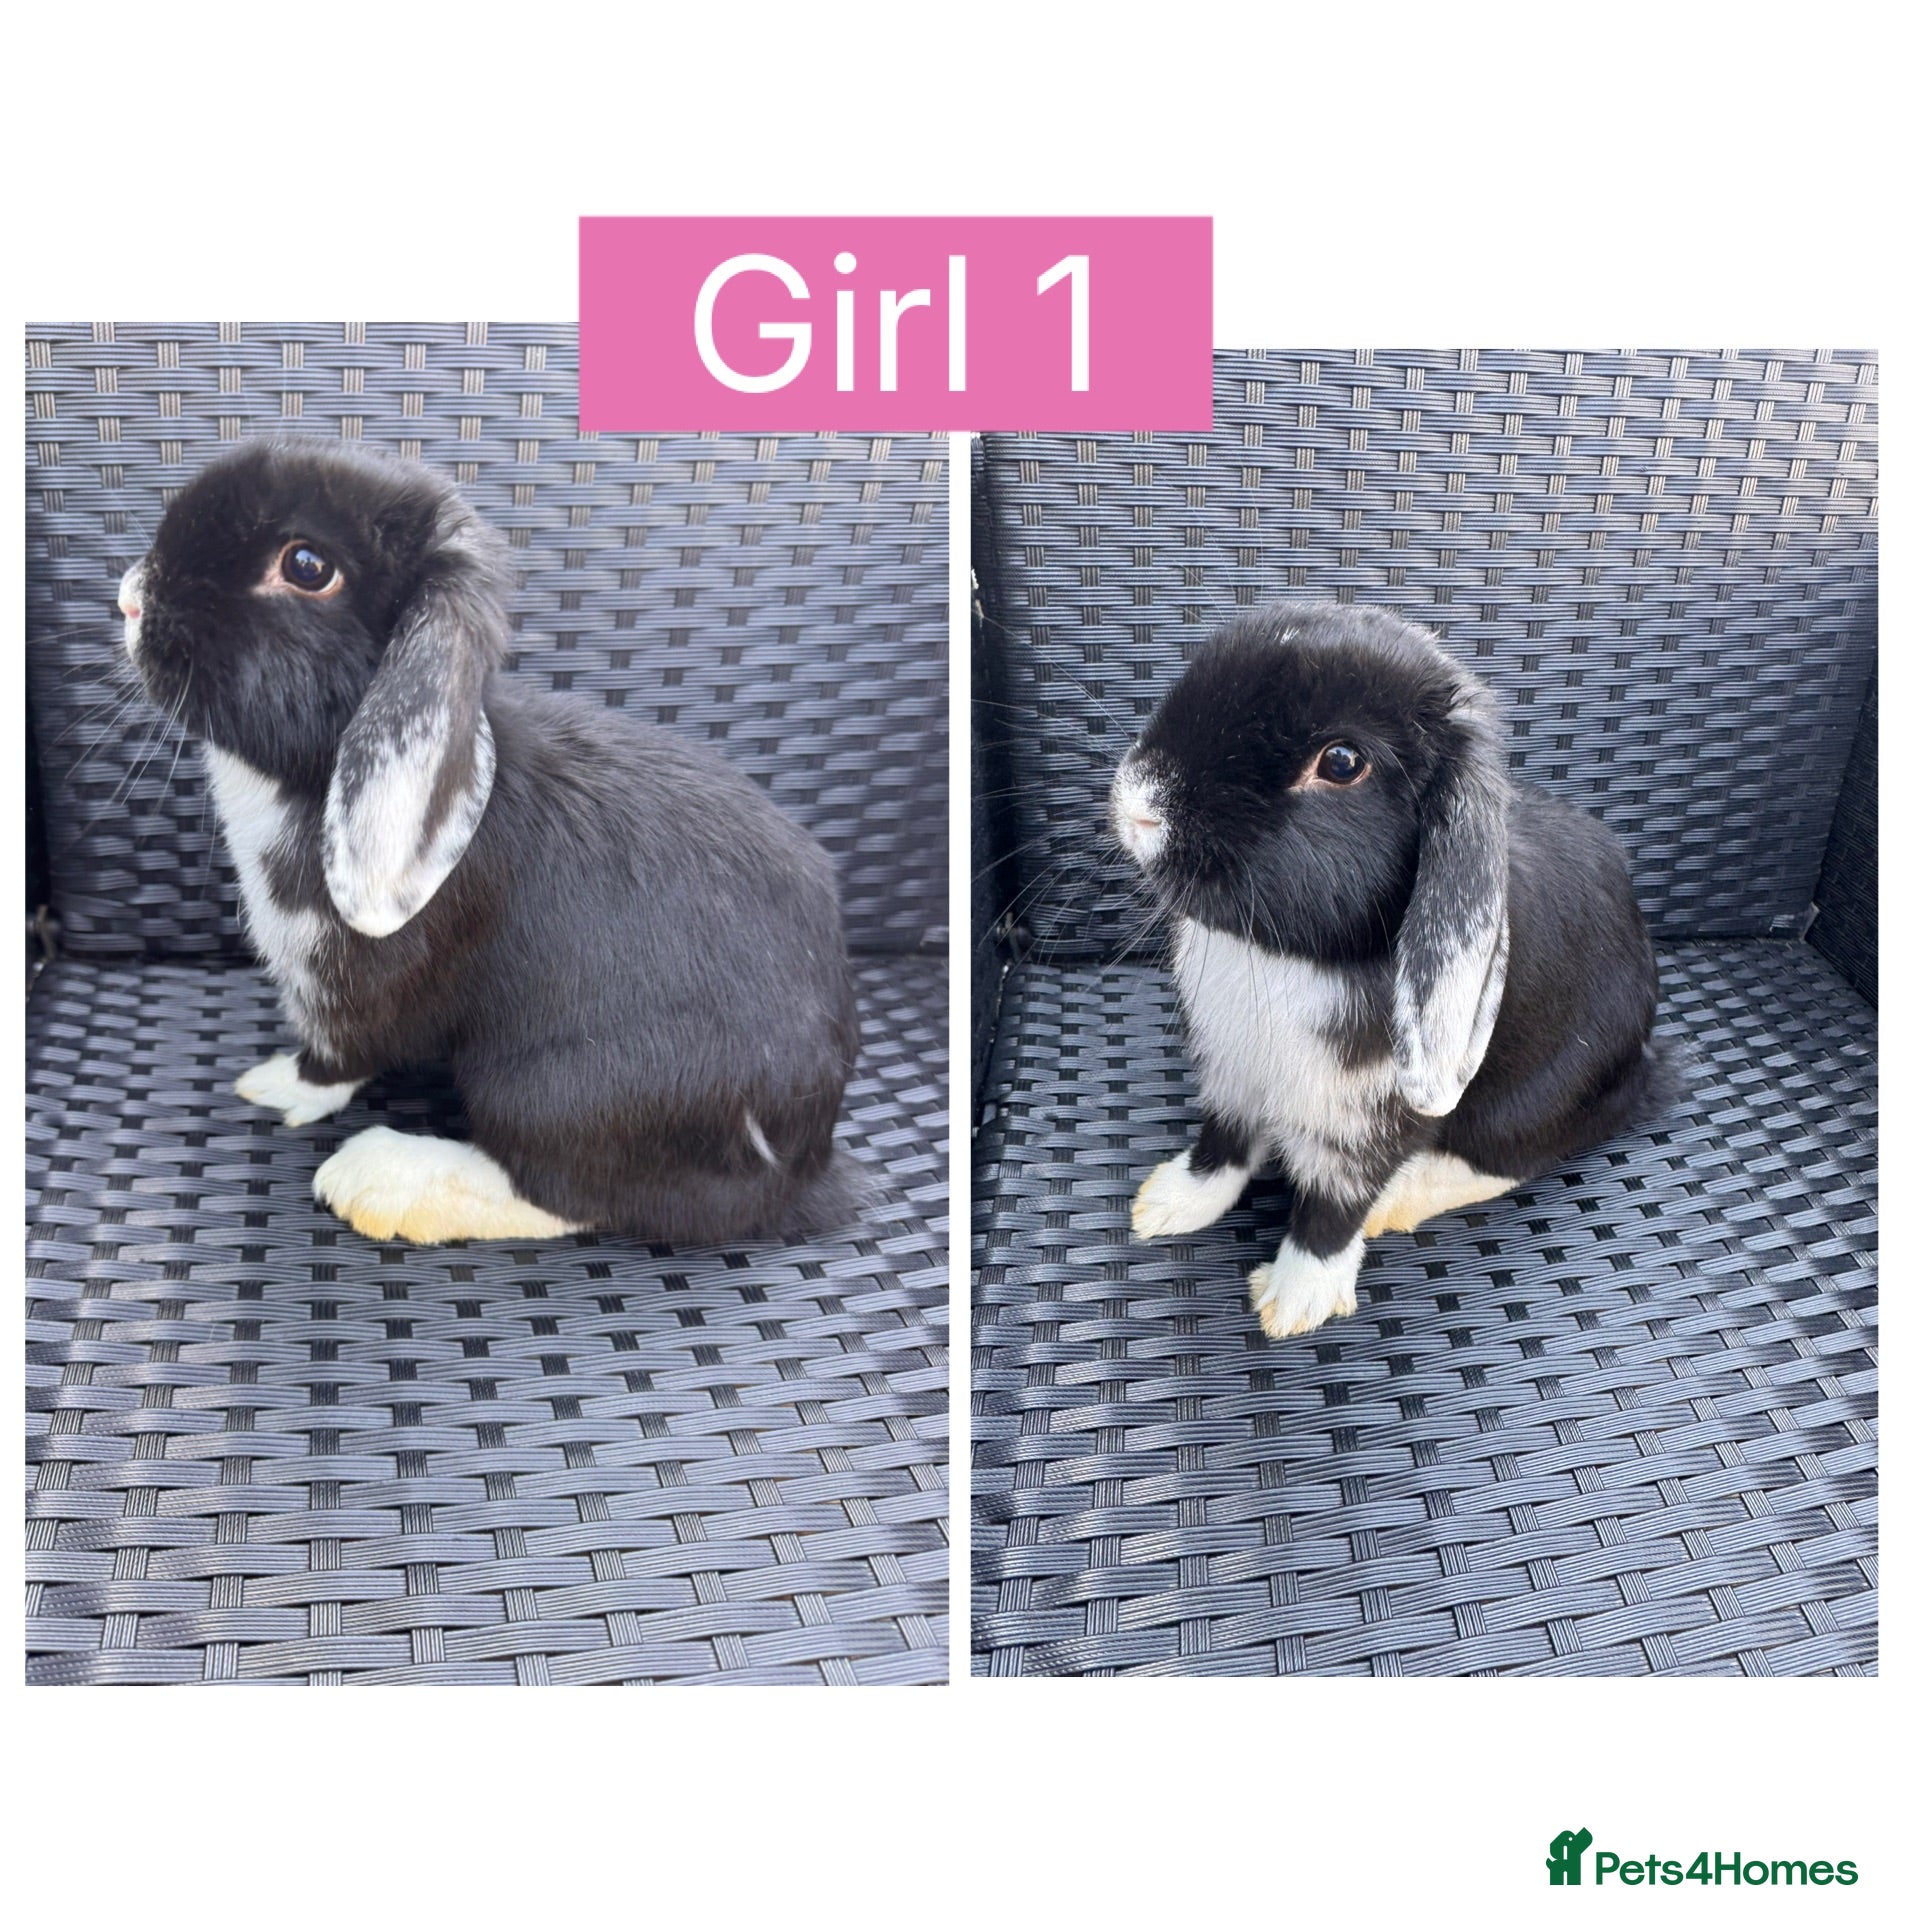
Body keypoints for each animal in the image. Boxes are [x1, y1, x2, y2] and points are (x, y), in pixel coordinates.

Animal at [116, 436, 862, 1246]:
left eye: (307, 566)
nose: (129, 598)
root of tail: (804, 1166)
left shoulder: (357, 987)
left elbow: (340, 1059)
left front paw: (276, 1086)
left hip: (557, 1090)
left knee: (570, 1193)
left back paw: (381, 1179)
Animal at [1110, 602, 1677, 1340]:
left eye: (1342, 762)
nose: (1138, 805)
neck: (1286, 960)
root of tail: (1645, 1064)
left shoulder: (1368, 1126)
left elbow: (1332, 1211)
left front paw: (1293, 1301)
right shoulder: (1233, 1074)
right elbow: (1222, 1146)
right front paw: (1168, 1204)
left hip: (1533, 1105)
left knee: (1516, 1158)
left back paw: (1399, 1201)